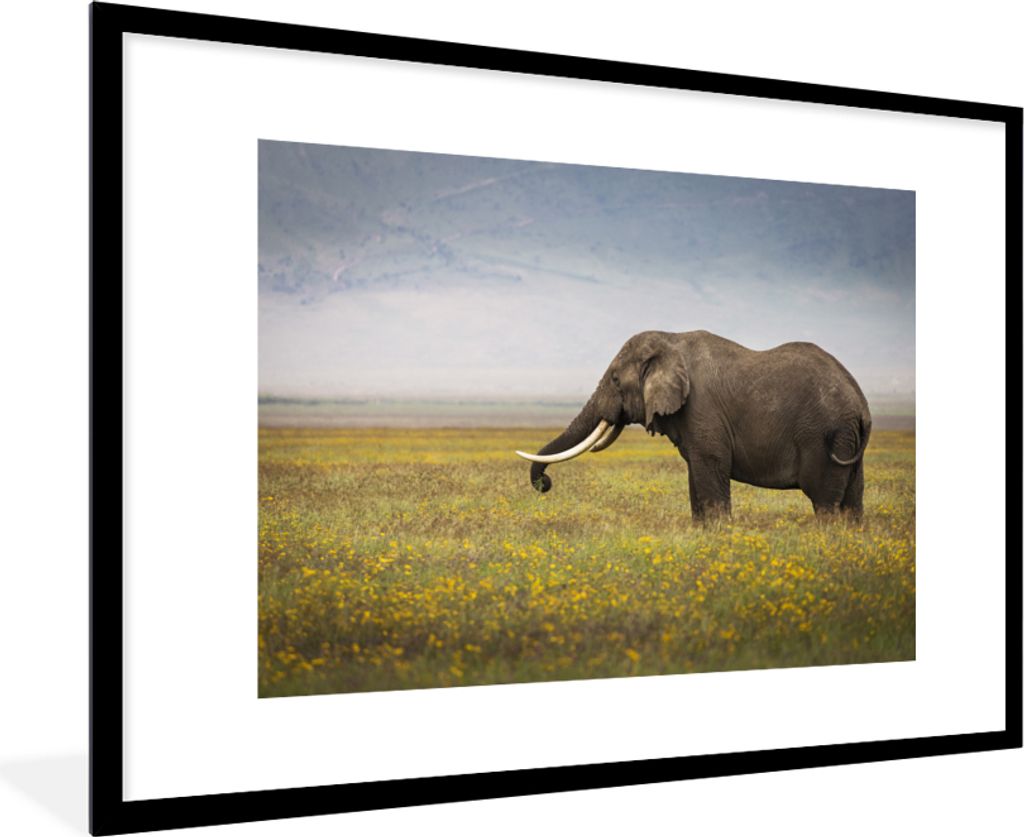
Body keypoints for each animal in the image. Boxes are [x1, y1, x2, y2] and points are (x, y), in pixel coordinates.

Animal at [515, 330, 871, 521]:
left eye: (615, 379)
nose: (545, 485)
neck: (670, 340)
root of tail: (861, 405)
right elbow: (694, 479)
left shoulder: (703, 410)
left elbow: (710, 469)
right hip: (848, 441)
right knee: (852, 504)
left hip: (825, 438)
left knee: (825, 503)